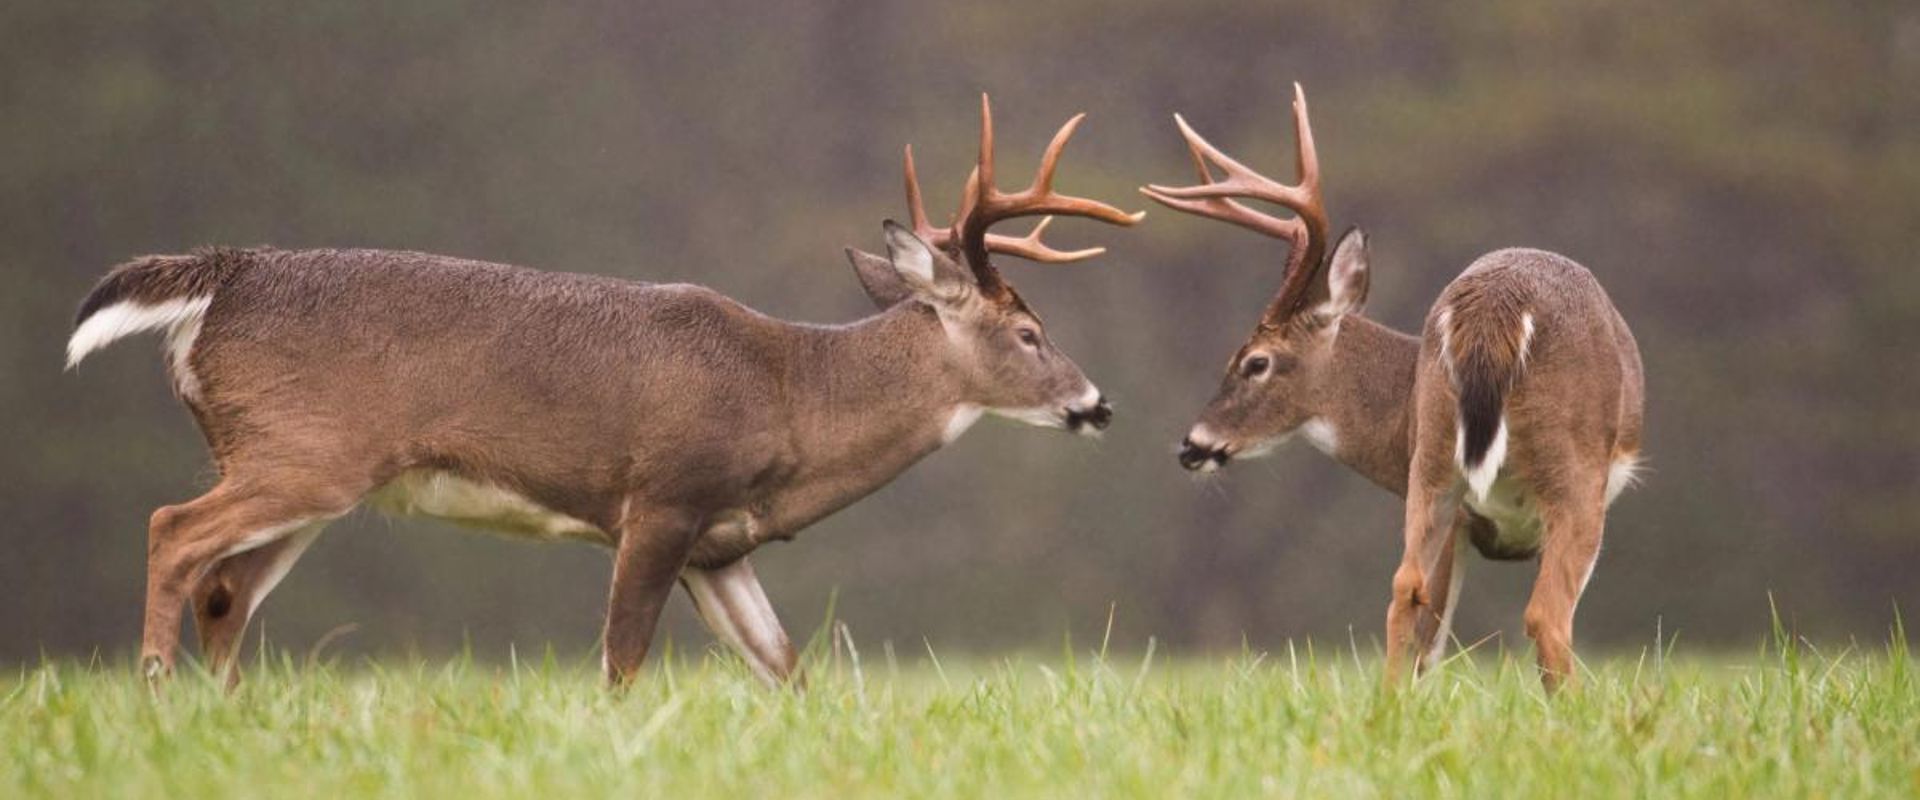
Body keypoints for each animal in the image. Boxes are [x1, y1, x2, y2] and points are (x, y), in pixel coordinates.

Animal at [65, 95, 1143, 689]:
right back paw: (156, 697)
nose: (1097, 403)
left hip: (305, 470)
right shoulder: (660, 498)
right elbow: (620, 665)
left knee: (225, 592)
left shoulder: (721, 543)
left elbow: (788, 669)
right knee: (173, 532)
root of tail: (220, 280)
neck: (791, 396)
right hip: (305, 452)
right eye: (1029, 331)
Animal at [1142, 84, 1643, 692]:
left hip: (1434, 458)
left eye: (1255, 362)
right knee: (1546, 616)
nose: (1192, 444)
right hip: (1569, 470)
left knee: (1404, 590)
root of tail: (1494, 311)